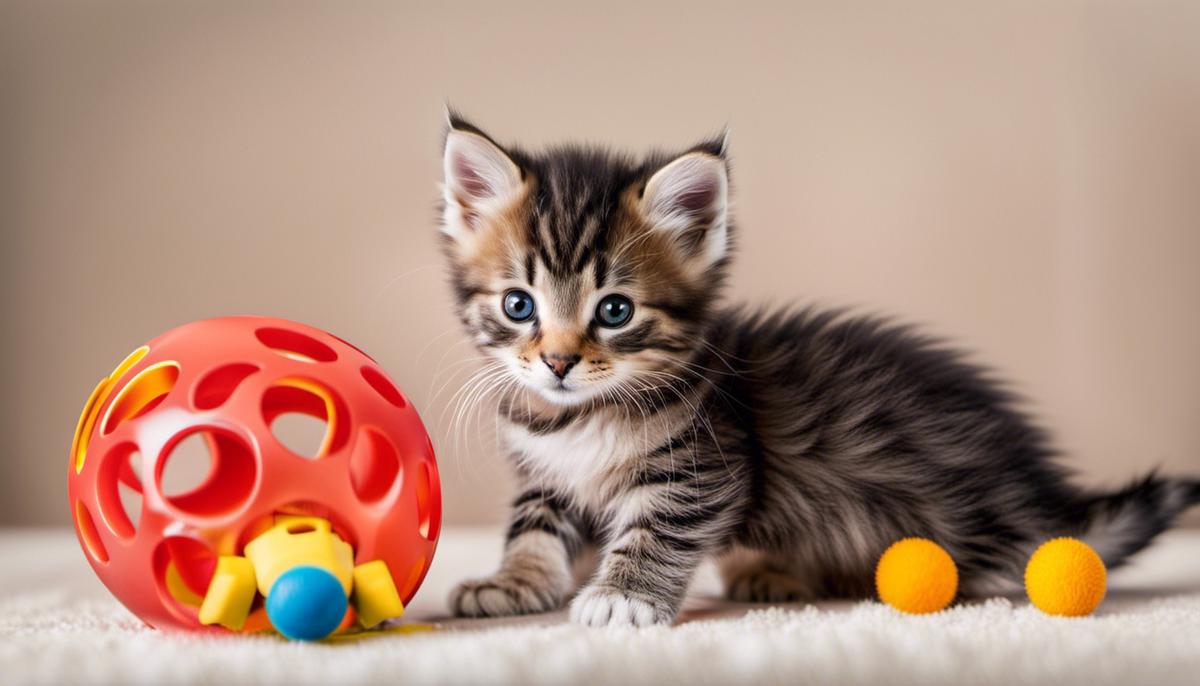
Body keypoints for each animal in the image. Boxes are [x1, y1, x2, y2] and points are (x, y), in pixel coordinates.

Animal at [441, 112, 1200, 628]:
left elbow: (658, 527)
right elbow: (536, 526)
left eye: (616, 310)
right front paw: (513, 582)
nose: (559, 361)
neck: (579, 416)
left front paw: (623, 596)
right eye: (518, 304)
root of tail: (1041, 498)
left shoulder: (707, 464)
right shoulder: (548, 474)